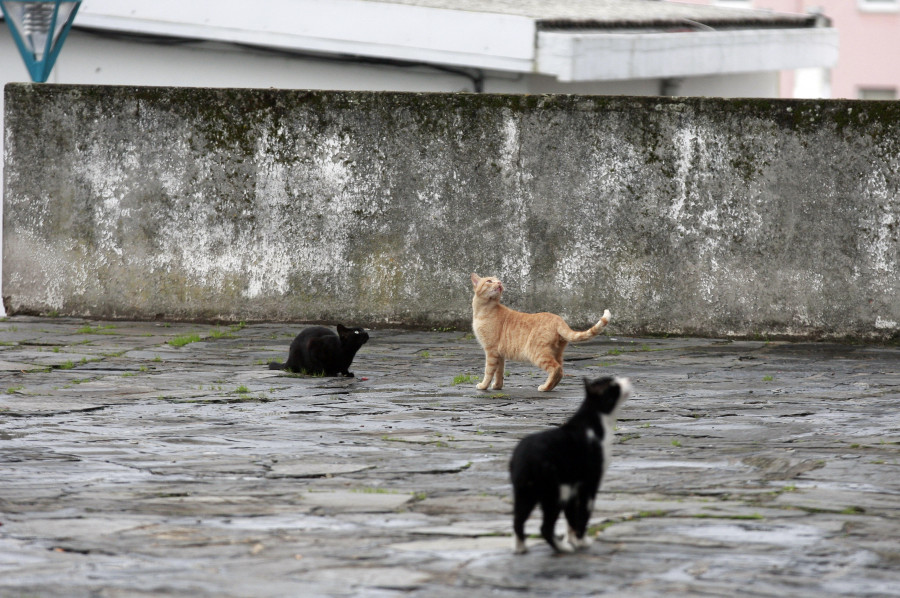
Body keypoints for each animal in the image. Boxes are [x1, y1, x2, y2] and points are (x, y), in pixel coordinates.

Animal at [472, 274, 612, 394]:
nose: (500, 283)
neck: (483, 310)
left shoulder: (491, 351)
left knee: (556, 368)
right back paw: (549, 387)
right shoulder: (499, 354)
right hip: (556, 353)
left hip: (536, 353)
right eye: (489, 281)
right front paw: (497, 386)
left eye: (496, 280)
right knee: (561, 370)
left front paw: (483, 386)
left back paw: (544, 388)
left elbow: (489, 371)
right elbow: (499, 372)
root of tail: (558, 319)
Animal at [510, 378, 628, 556]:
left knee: (518, 521)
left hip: (525, 493)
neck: (591, 419)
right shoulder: (589, 484)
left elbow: (571, 518)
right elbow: (583, 515)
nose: (626, 380)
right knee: (545, 527)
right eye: (615, 385)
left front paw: (573, 540)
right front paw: (582, 542)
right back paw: (563, 549)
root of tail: (525, 458)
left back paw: (521, 549)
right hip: (555, 494)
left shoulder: (573, 487)